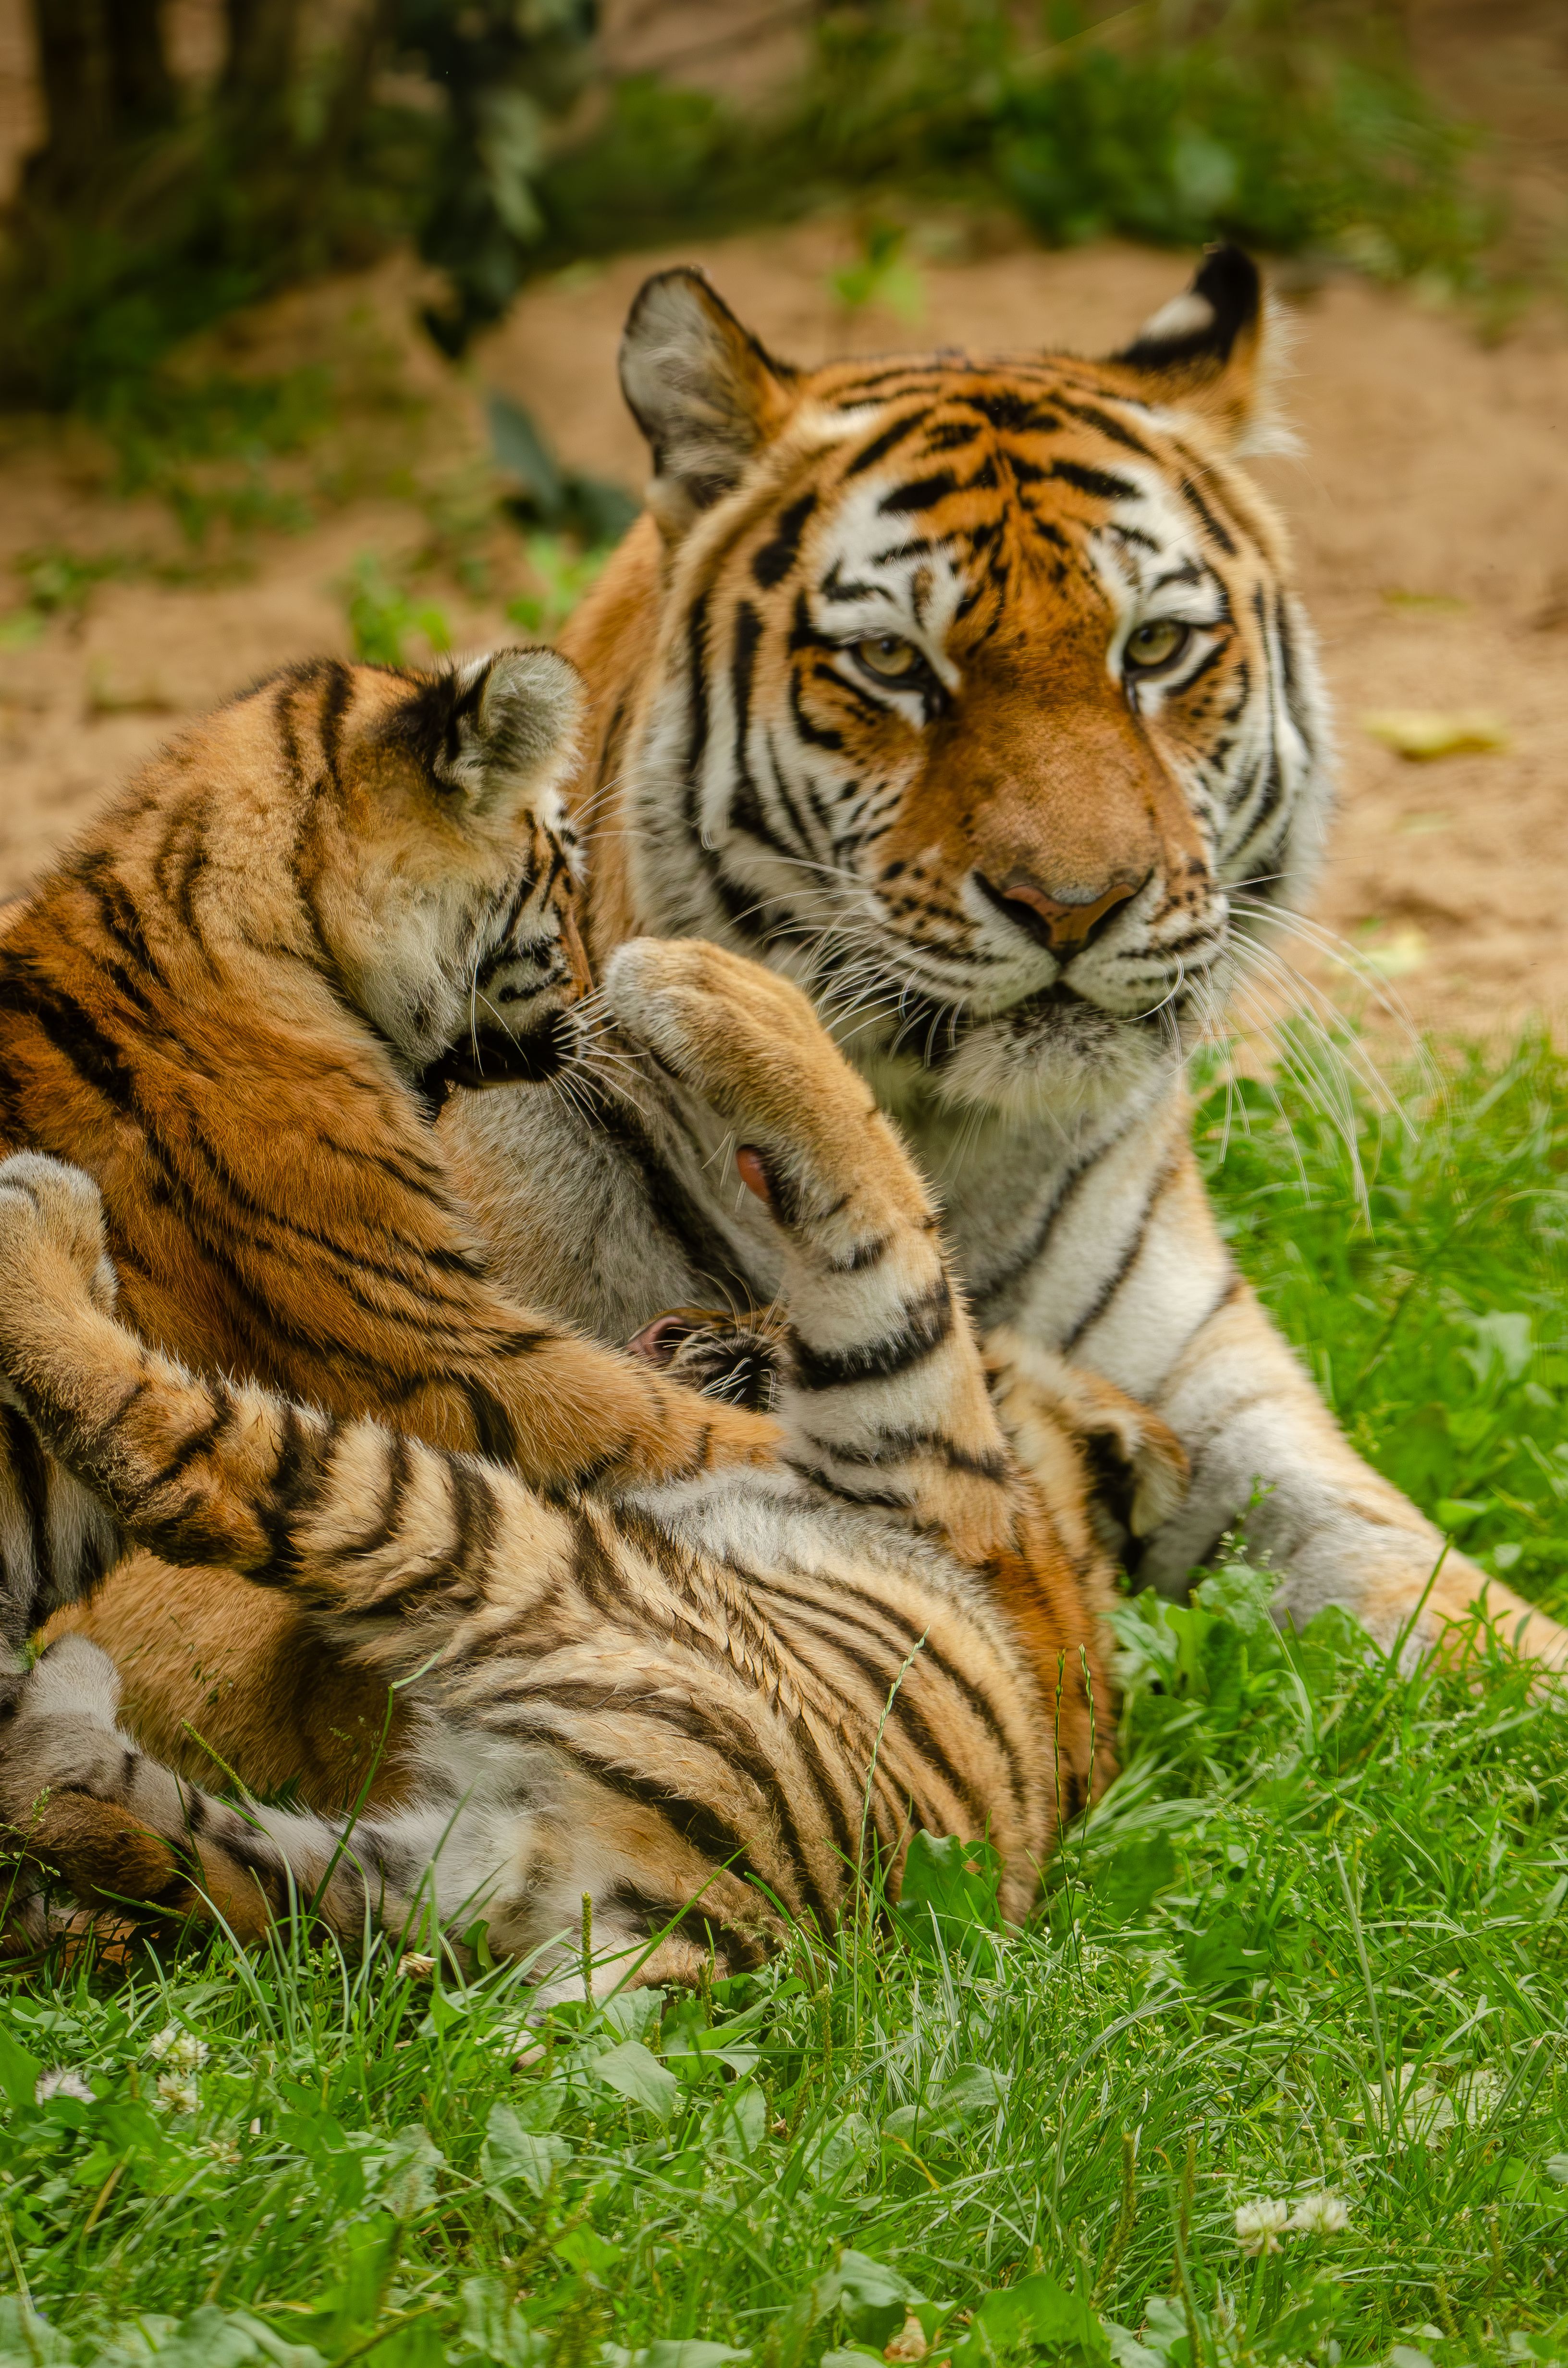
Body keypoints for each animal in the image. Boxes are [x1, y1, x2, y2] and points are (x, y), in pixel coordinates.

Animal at [0, 919, 1187, 1979]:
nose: (700, 1317)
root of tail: (710, 1926)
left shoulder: (933, 1450)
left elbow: (878, 1185)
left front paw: (700, 983)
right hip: (374, 1875)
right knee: (141, 1838)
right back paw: (55, 1723)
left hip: (518, 1557)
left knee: (185, 1461)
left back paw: (43, 1222)